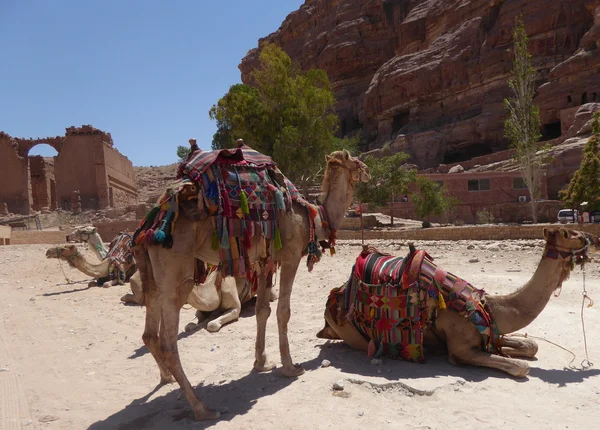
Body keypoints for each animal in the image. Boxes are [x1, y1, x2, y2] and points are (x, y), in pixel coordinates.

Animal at [134, 145, 370, 420]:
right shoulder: (290, 255)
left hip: (151, 272)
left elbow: (262, 310)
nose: (368, 171)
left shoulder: (264, 261)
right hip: (176, 273)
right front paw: (290, 367)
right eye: (356, 160)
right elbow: (283, 311)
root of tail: (150, 224)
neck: (314, 218)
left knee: (149, 331)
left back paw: (167, 378)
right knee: (169, 343)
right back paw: (203, 408)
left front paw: (262, 363)